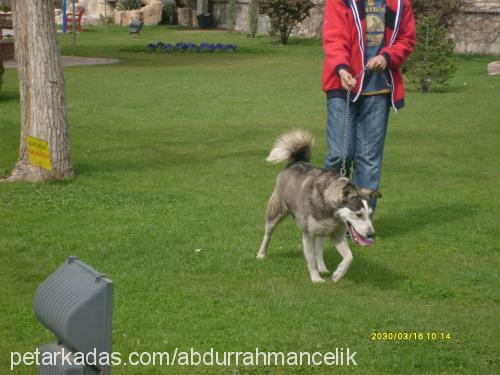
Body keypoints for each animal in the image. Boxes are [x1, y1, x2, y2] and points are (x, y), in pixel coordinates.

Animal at [256, 131, 380, 284]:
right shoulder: (308, 235)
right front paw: (315, 278)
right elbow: (311, 259)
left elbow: (349, 257)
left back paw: (323, 267)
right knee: (267, 234)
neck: (332, 213)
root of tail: (296, 161)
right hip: (275, 213)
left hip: (321, 231)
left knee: (319, 249)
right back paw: (261, 254)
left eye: (371, 215)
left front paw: (338, 274)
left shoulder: (337, 235)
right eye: (358, 214)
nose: (371, 234)